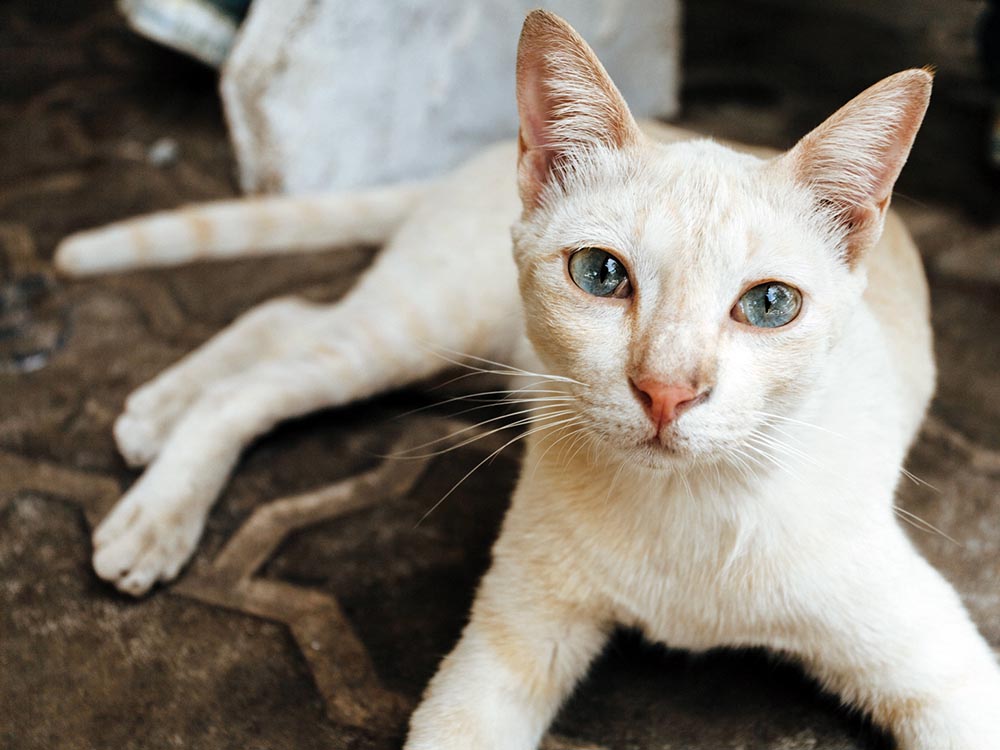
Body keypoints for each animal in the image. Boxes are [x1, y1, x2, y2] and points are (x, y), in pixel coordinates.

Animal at [56, 7, 1000, 750]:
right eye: (600, 274)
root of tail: (472, 160)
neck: (688, 510)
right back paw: (155, 502)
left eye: (770, 304)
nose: (667, 390)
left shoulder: (946, 675)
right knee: (269, 360)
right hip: (419, 327)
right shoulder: (501, 658)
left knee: (284, 315)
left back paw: (153, 419)